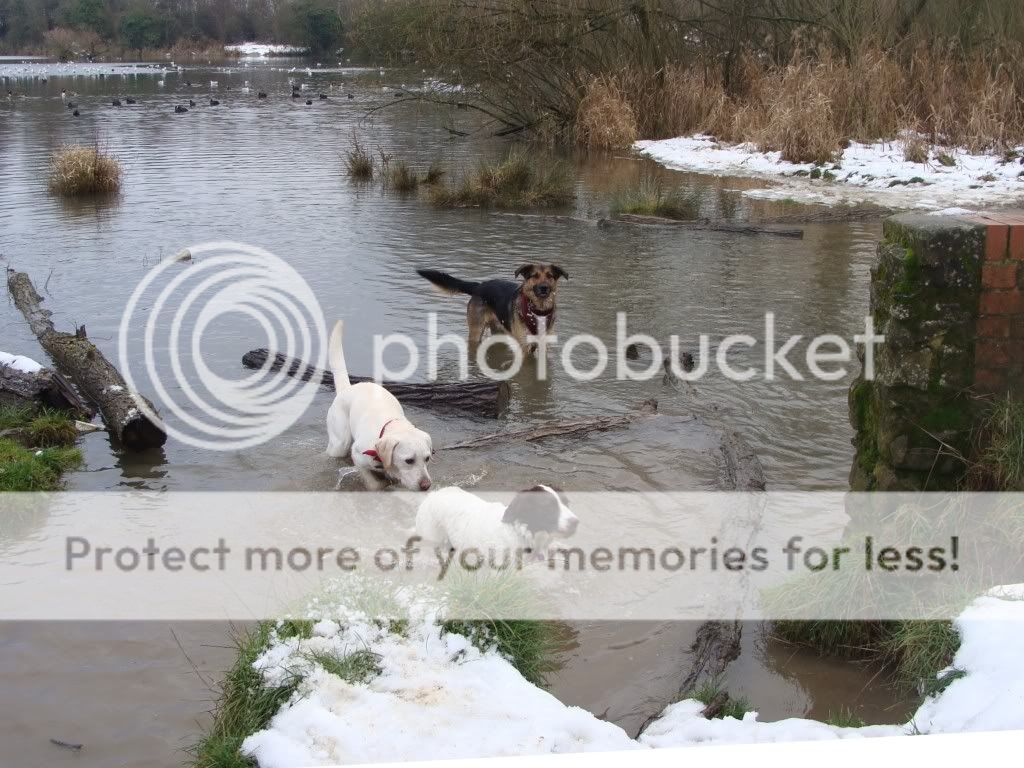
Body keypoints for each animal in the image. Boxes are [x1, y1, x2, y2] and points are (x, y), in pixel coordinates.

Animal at [327, 319, 432, 493]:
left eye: (427, 458)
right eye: (409, 460)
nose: (426, 486)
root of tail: (348, 388)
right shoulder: (358, 456)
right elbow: (374, 484)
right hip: (340, 443)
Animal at [415, 264, 569, 350]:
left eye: (550, 276)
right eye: (534, 276)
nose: (544, 288)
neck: (538, 310)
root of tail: (479, 286)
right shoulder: (523, 346)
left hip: (498, 330)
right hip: (476, 331)